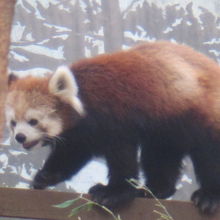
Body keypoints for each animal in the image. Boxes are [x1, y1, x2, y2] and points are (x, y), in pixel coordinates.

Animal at [5, 41, 220, 215]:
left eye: (33, 121)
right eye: (13, 123)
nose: (20, 137)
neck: (84, 97)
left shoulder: (115, 117)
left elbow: (121, 158)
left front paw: (113, 193)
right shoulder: (82, 134)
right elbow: (70, 154)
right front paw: (45, 176)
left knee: (209, 154)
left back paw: (209, 196)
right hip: (165, 130)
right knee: (159, 156)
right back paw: (155, 190)